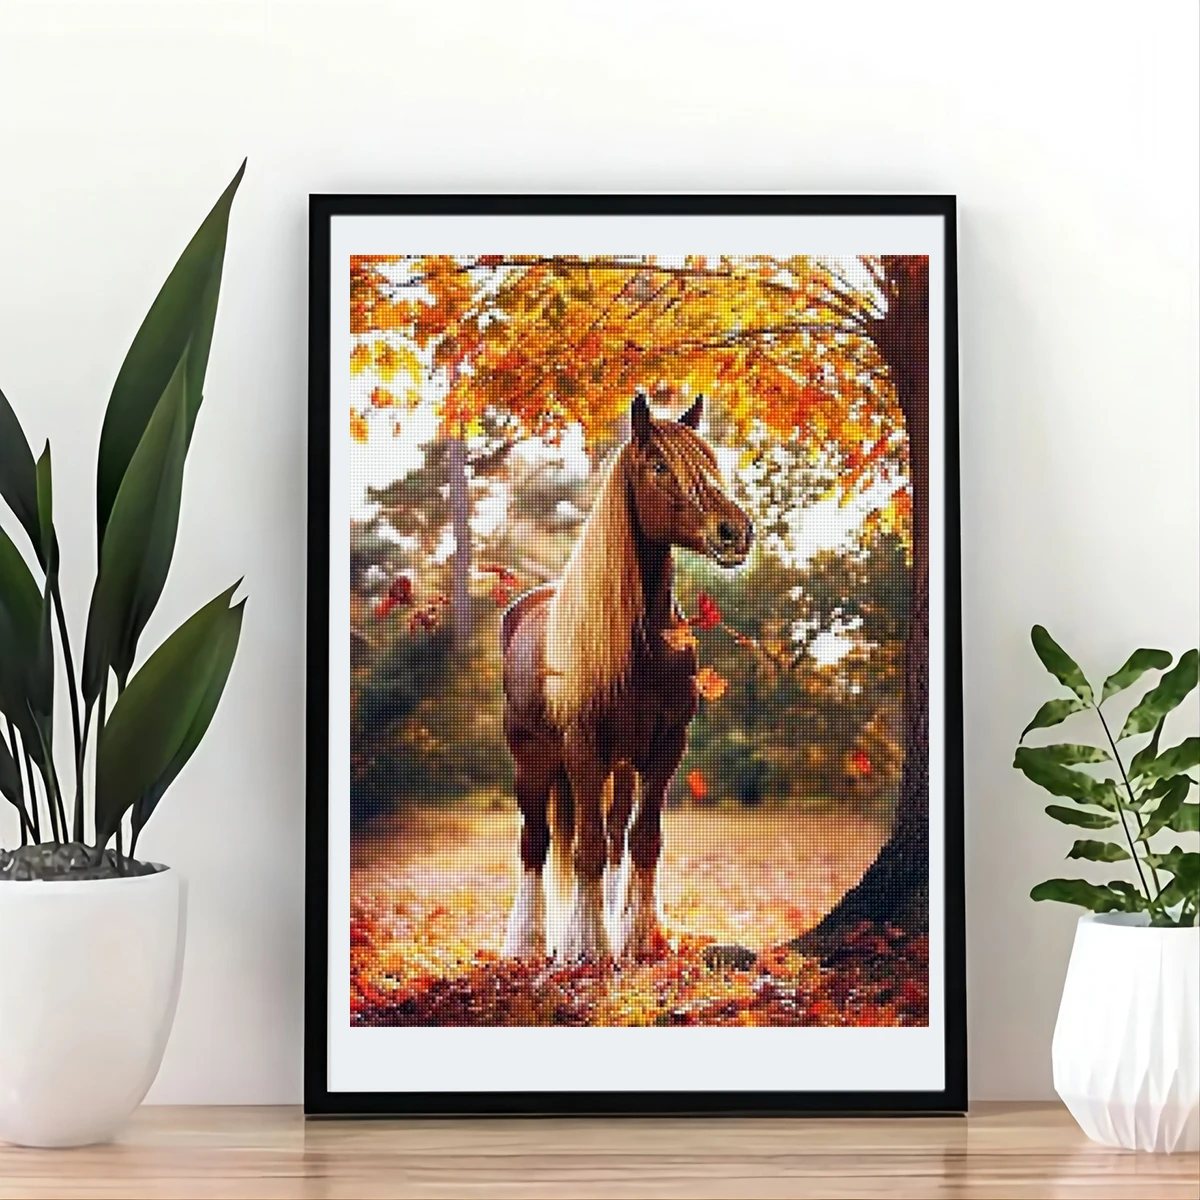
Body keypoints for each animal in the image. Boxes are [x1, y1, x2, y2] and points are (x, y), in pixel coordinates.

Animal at [500, 391, 754, 962]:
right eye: (658, 465)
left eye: (709, 462)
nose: (735, 532)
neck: (643, 646)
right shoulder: (583, 746)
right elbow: (586, 847)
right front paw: (587, 946)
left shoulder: (664, 748)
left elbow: (643, 840)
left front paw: (636, 935)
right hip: (533, 760)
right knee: (535, 841)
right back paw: (526, 942)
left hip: (619, 767)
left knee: (615, 833)